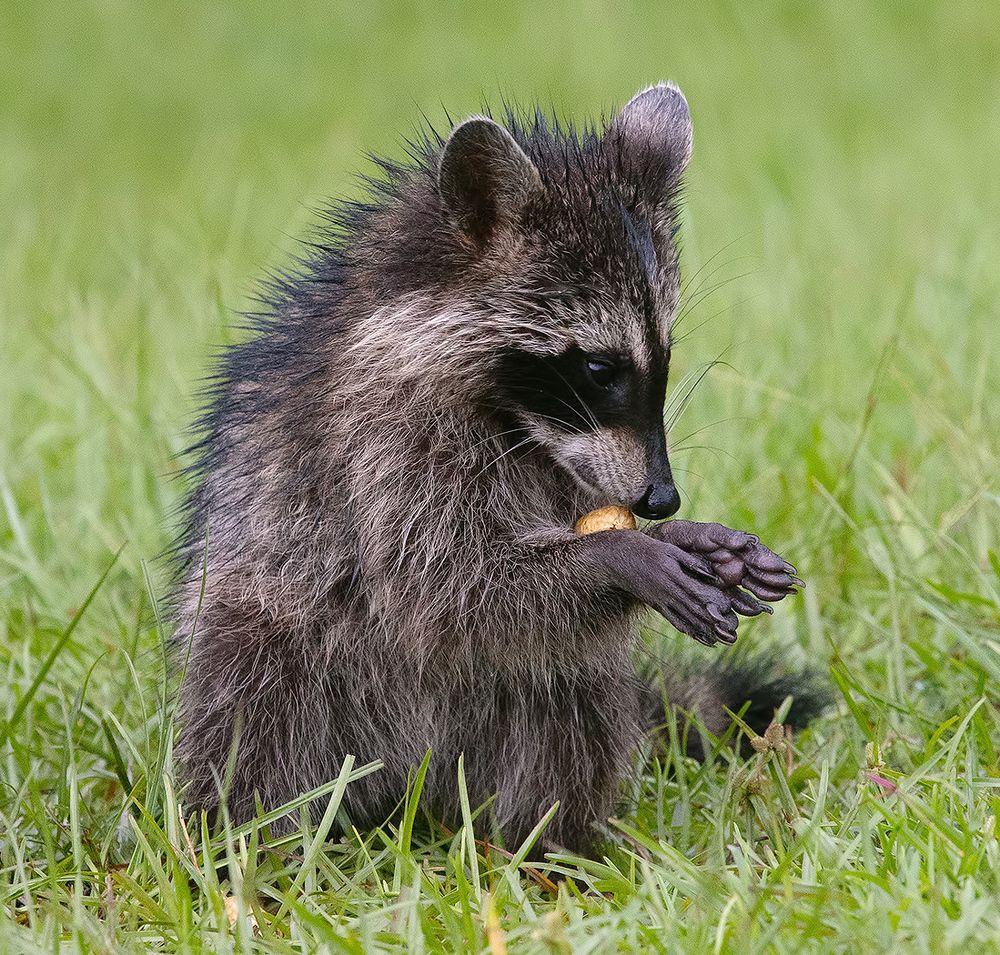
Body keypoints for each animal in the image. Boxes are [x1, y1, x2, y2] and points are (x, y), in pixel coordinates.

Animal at [172, 84, 820, 857]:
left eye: (665, 359)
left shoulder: (565, 456)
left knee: (572, 685)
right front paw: (621, 553)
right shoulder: (379, 440)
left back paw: (555, 840)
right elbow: (439, 580)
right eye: (599, 369)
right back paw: (248, 843)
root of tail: (413, 782)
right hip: (280, 639)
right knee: (255, 696)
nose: (662, 500)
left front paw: (679, 537)